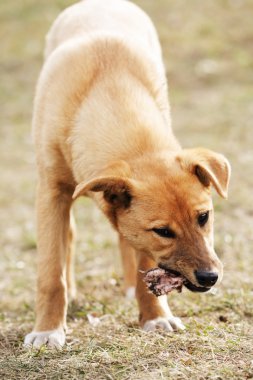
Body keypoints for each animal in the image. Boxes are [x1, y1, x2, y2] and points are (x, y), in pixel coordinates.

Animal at [24, 0, 231, 348]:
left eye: (204, 217)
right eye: (163, 231)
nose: (210, 277)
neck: (108, 88)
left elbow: (142, 258)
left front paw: (155, 316)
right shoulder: (52, 191)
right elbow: (51, 274)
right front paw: (48, 330)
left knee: (123, 240)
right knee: (69, 238)